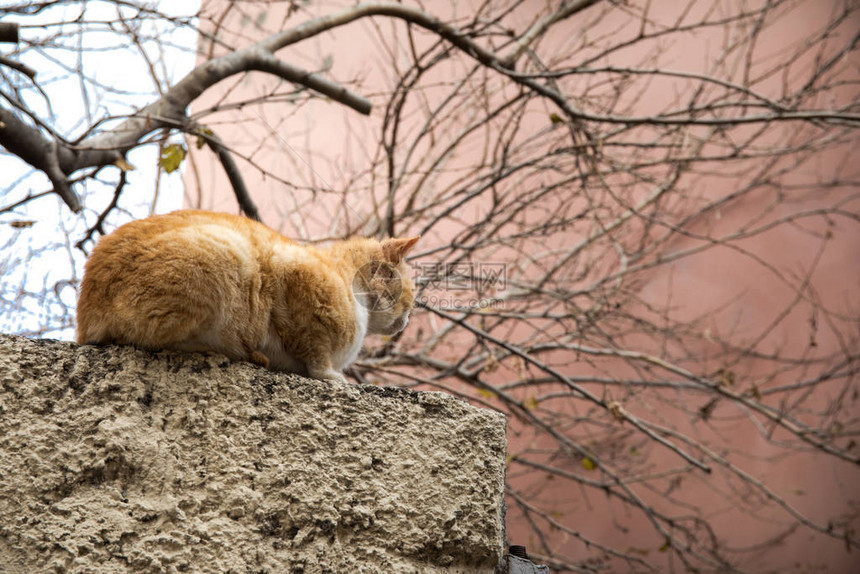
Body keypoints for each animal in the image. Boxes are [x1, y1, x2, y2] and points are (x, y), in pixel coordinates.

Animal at [77, 209, 420, 384]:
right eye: (411, 295)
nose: (406, 321)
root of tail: (84, 319)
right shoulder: (293, 275)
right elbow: (315, 349)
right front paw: (330, 377)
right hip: (225, 252)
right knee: (157, 341)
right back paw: (240, 352)